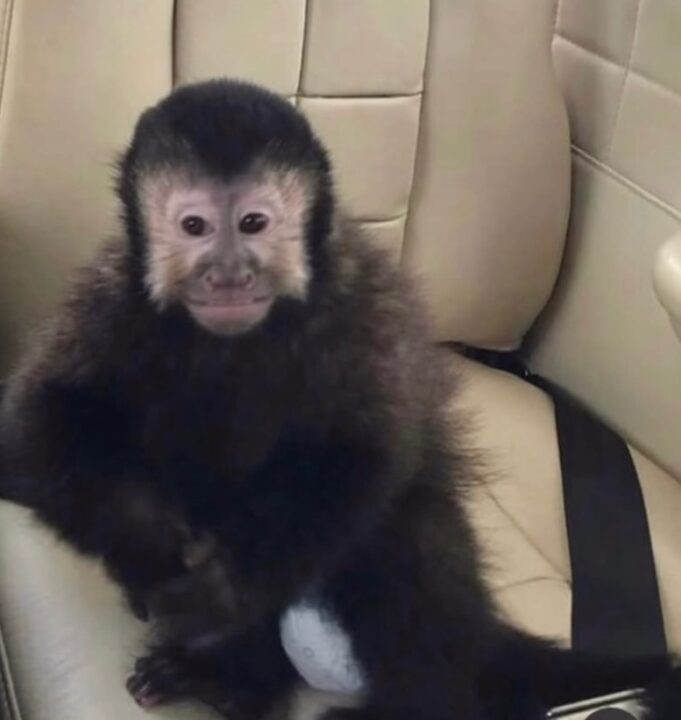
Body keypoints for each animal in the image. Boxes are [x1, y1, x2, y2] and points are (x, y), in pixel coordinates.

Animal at [0, 79, 679, 720]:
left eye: (253, 223)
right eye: (194, 227)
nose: (229, 274)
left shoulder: (360, 303)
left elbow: (367, 458)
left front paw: (225, 586)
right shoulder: (110, 298)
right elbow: (38, 426)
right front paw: (153, 548)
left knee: (404, 536)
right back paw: (232, 679)